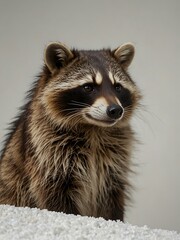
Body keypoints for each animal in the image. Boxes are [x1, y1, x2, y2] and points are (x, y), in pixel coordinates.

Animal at [0, 41, 141, 221]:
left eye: (117, 87)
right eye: (88, 87)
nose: (116, 110)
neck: (93, 128)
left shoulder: (115, 164)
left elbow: (112, 199)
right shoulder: (46, 154)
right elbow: (57, 200)